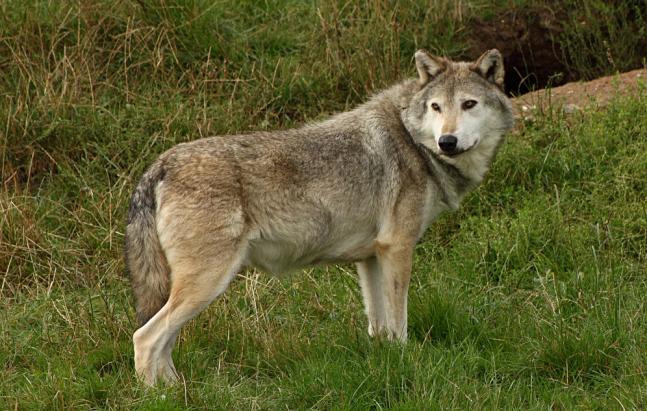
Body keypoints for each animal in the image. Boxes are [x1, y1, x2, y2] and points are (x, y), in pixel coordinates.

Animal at [126, 49, 514, 385]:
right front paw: (407, 361)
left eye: (468, 104)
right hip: (207, 284)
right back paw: (158, 395)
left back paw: (177, 389)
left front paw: (385, 360)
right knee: (145, 337)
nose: (447, 141)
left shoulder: (371, 256)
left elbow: (378, 325)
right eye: (436, 107)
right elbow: (399, 322)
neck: (413, 140)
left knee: (163, 341)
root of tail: (159, 165)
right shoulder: (398, 249)